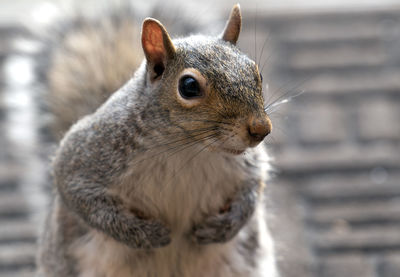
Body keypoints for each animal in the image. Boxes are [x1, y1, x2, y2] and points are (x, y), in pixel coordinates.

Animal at [37, 2, 278, 276]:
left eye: (256, 72)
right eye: (189, 86)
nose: (261, 129)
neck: (188, 148)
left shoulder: (249, 164)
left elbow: (253, 187)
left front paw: (225, 225)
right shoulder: (90, 153)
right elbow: (79, 193)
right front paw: (144, 233)